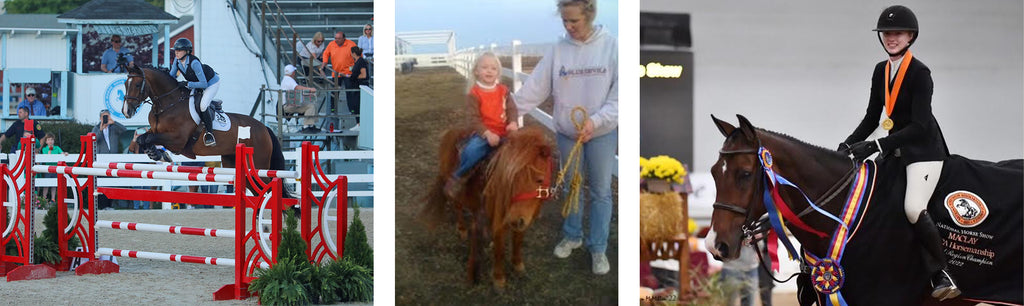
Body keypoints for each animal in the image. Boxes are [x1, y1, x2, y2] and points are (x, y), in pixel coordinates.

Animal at [419, 124, 557, 290]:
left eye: (539, 180)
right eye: (512, 180)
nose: (515, 220)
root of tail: (450, 132)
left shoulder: (523, 221)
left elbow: (518, 241)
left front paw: (518, 264)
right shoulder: (501, 221)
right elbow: (499, 250)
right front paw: (498, 278)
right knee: (457, 207)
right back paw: (462, 229)